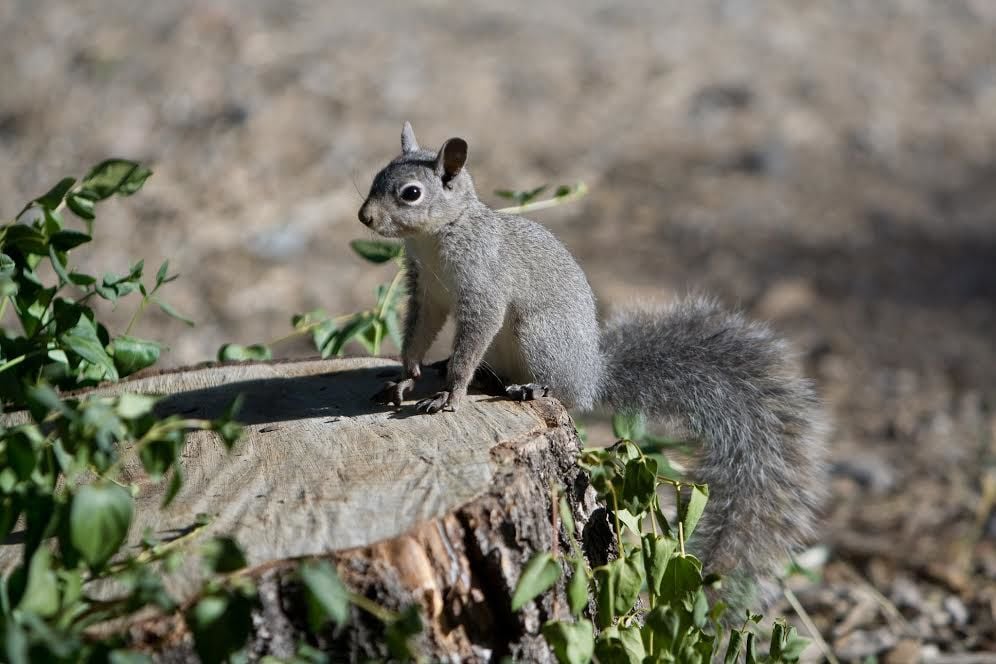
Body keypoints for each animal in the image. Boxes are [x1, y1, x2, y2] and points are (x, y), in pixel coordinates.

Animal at [356, 123, 824, 608]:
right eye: (378, 176)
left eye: (411, 193)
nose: (364, 217)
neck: (435, 238)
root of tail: (592, 374)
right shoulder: (426, 292)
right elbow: (417, 333)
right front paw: (407, 376)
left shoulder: (483, 288)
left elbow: (474, 339)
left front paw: (452, 390)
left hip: (539, 335)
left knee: (560, 389)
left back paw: (532, 388)